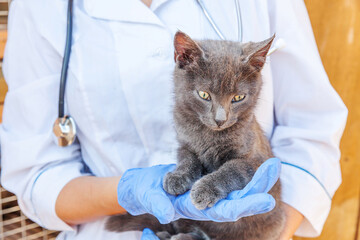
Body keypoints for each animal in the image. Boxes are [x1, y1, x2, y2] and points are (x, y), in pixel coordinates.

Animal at [105, 31, 286, 240]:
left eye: (238, 98)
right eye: (204, 95)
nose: (220, 119)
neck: (208, 134)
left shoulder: (254, 160)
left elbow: (230, 170)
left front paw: (204, 190)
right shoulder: (184, 142)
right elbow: (187, 159)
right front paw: (177, 177)